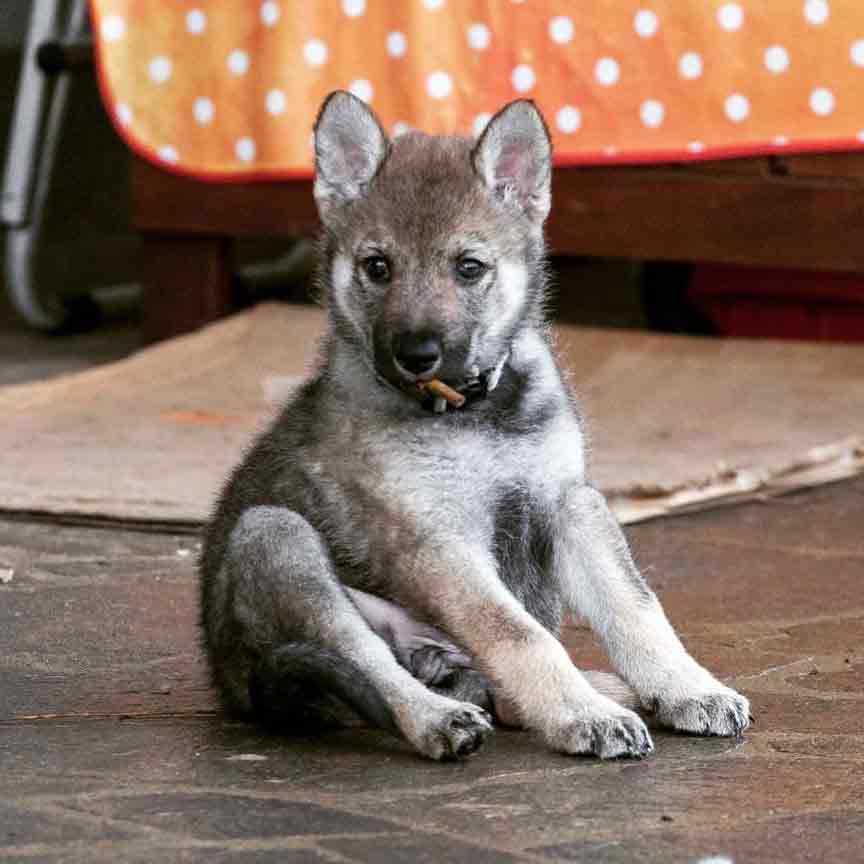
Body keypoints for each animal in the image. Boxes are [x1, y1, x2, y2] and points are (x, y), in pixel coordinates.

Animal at [199, 91, 750, 761]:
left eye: (468, 267)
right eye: (377, 266)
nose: (416, 353)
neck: (478, 414)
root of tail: (240, 686)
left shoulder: (567, 504)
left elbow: (636, 607)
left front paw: (688, 687)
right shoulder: (436, 543)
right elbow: (521, 636)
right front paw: (580, 715)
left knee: (492, 688)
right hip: (274, 537)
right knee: (372, 665)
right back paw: (441, 717)